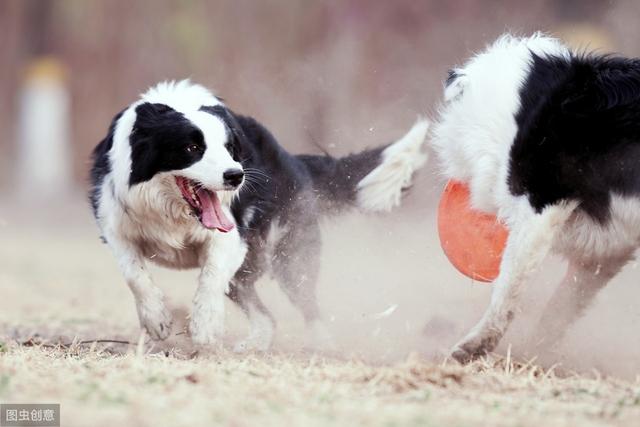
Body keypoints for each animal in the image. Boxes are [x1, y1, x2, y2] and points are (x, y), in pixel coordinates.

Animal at [90, 80, 428, 352]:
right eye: (192, 147)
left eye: (230, 148)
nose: (235, 176)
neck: (172, 212)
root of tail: (295, 162)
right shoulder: (115, 226)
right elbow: (135, 274)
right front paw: (157, 319)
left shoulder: (230, 237)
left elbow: (210, 276)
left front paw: (205, 326)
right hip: (245, 274)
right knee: (268, 318)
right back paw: (254, 345)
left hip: (290, 255)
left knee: (308, 305)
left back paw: (321, 343)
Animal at [430, 33, 640, 362]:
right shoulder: (608, 251)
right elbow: (560, 308)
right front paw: (537, 353)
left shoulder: (541, 205)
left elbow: (508, 287)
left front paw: (472, 348)